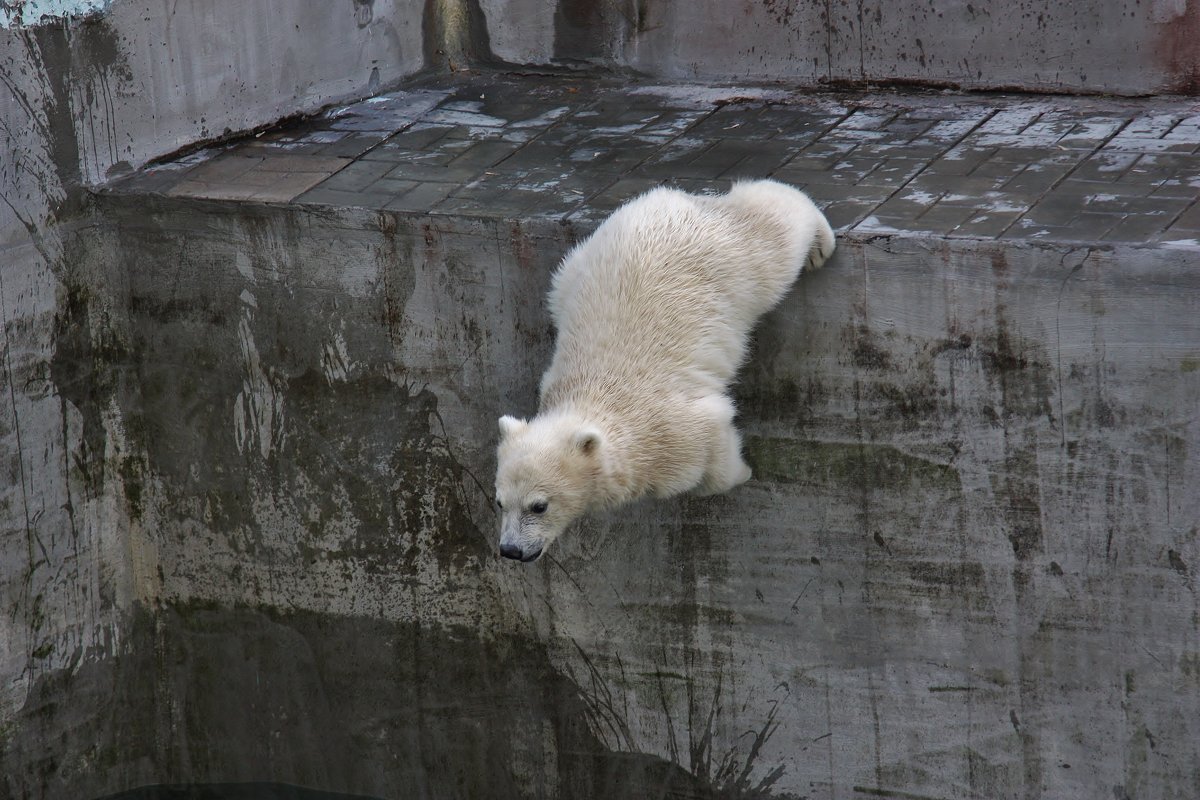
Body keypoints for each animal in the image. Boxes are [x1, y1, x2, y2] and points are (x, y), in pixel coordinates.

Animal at [492, 179, 830, 563]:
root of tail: (668, 198)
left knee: (772, 235)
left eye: (539, 506)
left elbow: (711, 447)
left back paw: (819, 242)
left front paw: (741, 472)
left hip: (730, 259)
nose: (511, 550)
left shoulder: (671, 430)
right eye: (500, 502)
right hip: (572, 268)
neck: (594, 400)